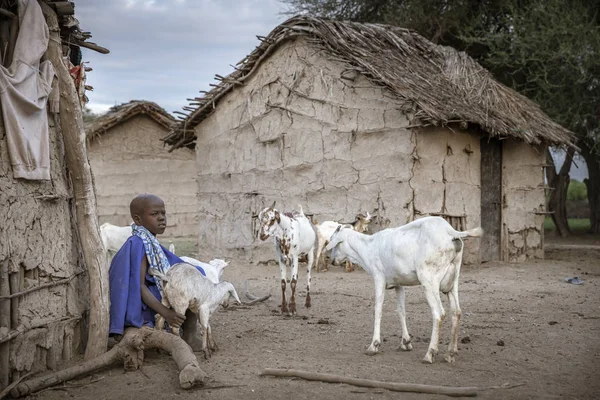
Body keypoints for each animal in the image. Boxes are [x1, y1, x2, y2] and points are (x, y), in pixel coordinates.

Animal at [324, 217, 482, 364]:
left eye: (332, 240)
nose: (331, 260)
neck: (368, 247)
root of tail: (450, 232)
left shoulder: (379, 278)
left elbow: (378, 310)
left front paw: (373, 346)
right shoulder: (398, 284)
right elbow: (401, 311)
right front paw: (405, 342)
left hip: (429, 280)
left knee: (439, 313)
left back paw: (430, 354)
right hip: (453, 281)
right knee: (456, 312)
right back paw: (450, 354)